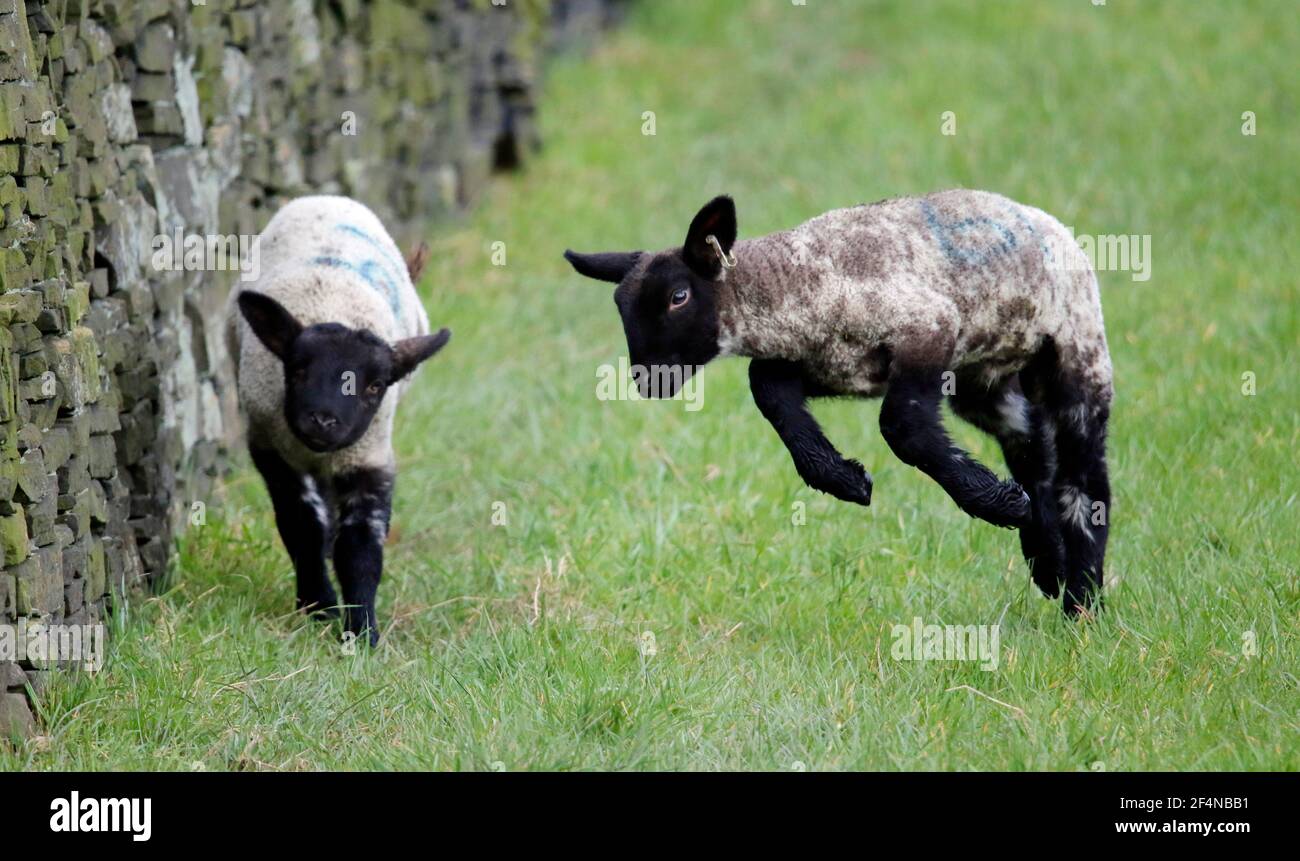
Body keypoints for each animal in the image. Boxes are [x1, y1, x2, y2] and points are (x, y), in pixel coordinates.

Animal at [223, 193, 447, 639]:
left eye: (376, 386)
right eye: (297, 370)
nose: (324, 420)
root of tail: (328, 198)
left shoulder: (369, 457)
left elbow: (360, 547)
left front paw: (361, 630)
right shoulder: (272, 449)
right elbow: (300, 527)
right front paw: (319, 607)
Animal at [564, 192, 1112, 616]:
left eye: (678, 296)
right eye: (620, 307)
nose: (646, 380)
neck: (795, 286)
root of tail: (1045, 219)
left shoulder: (929, 327)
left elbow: (901, 425)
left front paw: (996, 503)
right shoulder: (833, 366)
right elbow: (766, 388)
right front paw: (844, 479)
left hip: (1077, 349)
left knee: (1084, 481)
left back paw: (1082, 602)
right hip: (988, 386)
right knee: (1037, 457)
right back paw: (1048, 562)